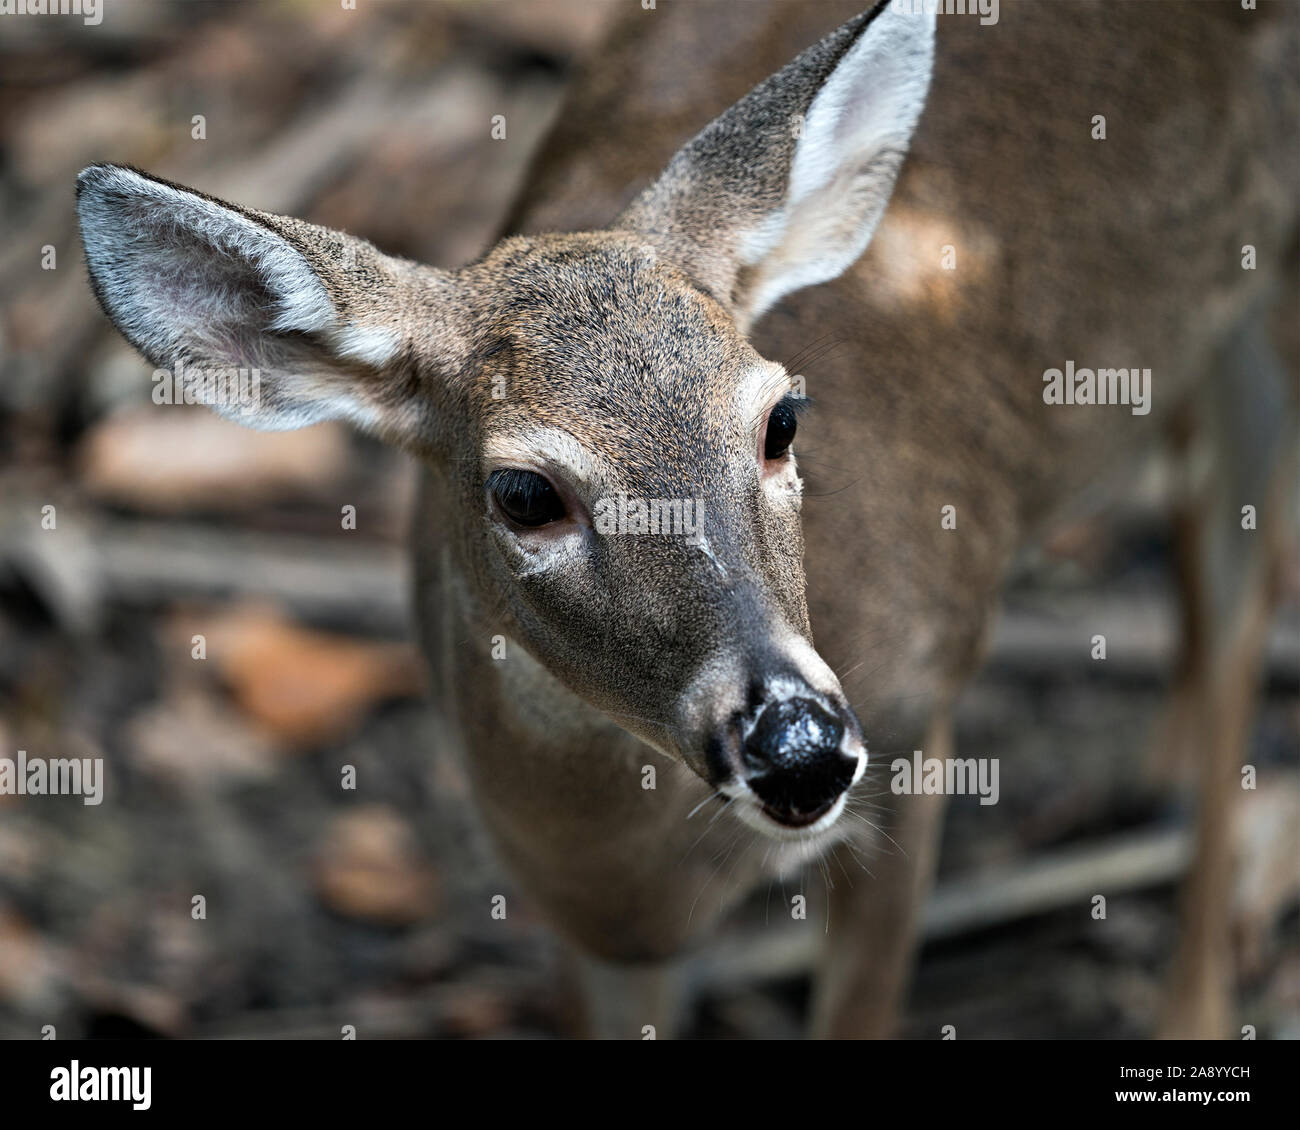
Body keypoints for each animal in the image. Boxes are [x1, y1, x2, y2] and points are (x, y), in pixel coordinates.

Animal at [76, 0, 1294, 1035]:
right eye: (525, 492)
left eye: (781, 417)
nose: (797, 749)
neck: (647, 866)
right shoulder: (579, 912)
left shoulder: (918, 714)